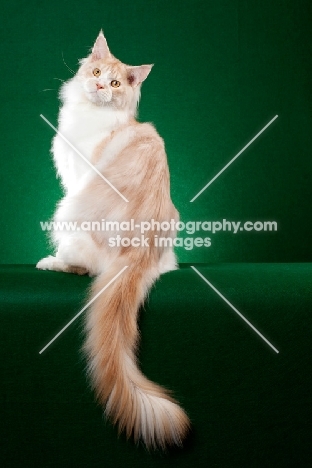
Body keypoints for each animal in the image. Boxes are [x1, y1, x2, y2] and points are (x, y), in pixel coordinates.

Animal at [35, 31, 189, 448]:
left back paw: (53, 262)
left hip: (67, 210)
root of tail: (140, 252)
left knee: (85, 266)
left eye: (116, 83)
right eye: (96, 73)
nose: (101, 86)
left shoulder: (76, 175)